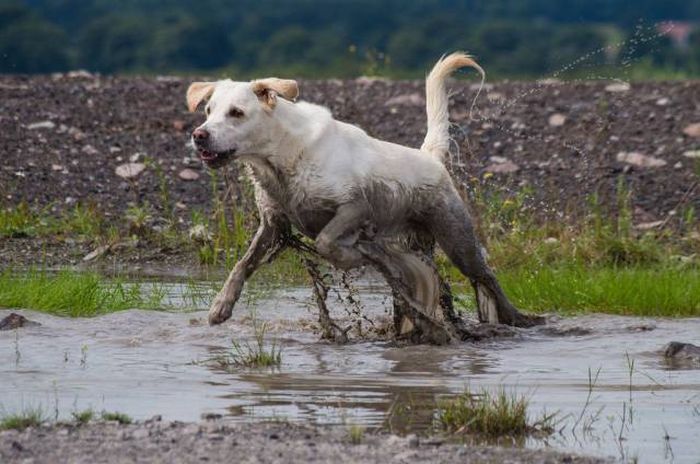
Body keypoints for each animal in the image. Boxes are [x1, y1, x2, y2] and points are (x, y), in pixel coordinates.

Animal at [186, 53, 536, 330]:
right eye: (208, 111)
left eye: (237, 112)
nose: (199, 135)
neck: (283, 156)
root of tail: (430, 157)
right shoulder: (274, 223)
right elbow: (241, 265)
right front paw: (220, 306)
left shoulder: (356, 206)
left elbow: (327, 241)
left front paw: (352, 256)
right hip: (419, 242)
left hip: (456, 238)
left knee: (486, 276)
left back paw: (516, 318)